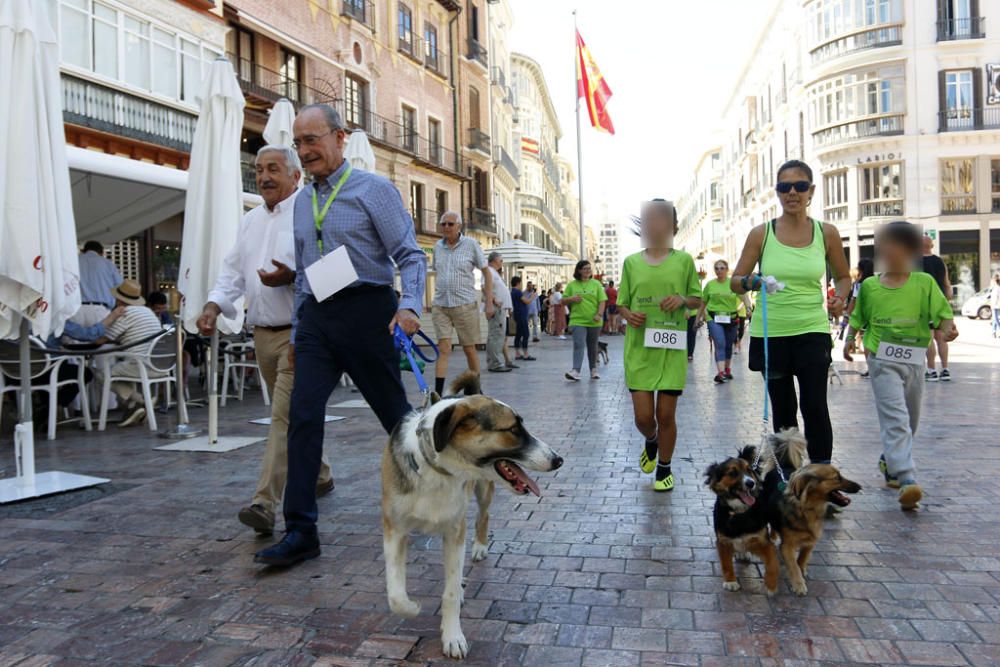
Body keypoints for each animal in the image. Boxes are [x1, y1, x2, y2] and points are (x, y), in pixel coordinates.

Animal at [382, 374, 564, 660]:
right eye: (513, 430)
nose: (558, 460)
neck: (437, 469)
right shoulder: (394, 529)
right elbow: (396, 596)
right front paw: (413, 608)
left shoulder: (455, 529)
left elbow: (450, 592)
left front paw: (452, 636)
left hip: (483, 492)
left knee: (483, 518)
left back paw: (478, 548)